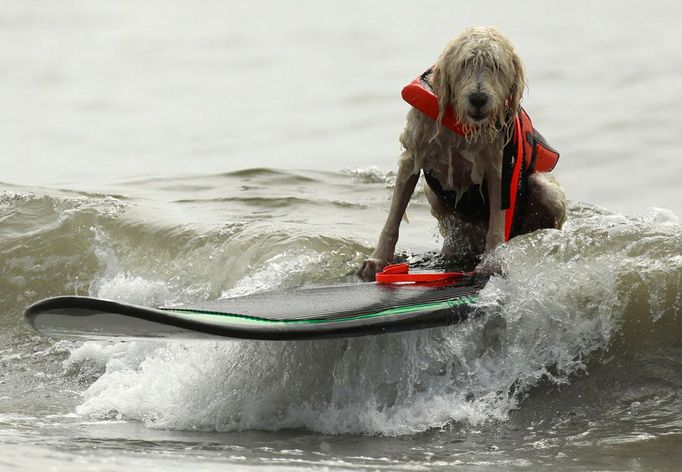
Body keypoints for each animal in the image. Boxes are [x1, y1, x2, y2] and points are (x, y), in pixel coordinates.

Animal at [356, 26, 564, 280]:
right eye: (465, 63)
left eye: (496, 66)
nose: (478, 98)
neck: (461, 124)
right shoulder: (412, 154)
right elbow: (394, 216)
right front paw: (378, 260)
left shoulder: (498, 167)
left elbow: (497, 222)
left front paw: (492, 262)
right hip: (434, 196)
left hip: (545, 191)